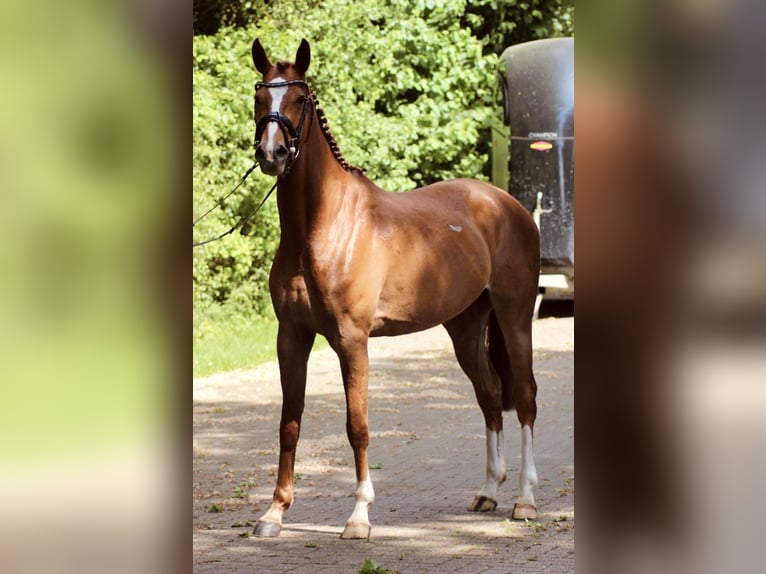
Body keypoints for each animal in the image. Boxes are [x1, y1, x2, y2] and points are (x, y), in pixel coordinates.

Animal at [250, 39, 540, 540]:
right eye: (259, 95)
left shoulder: (352, 340)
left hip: (514, 315)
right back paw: (488, 491)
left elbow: (358, 425)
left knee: (522, 396)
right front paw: (274, 513)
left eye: (300, 98)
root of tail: (508, 204)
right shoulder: (291, 336)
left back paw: (524, 499)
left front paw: (359, 515)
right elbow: (289, 422)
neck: (323, 227)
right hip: (465, 325)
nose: (274, 153)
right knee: (489, 393)